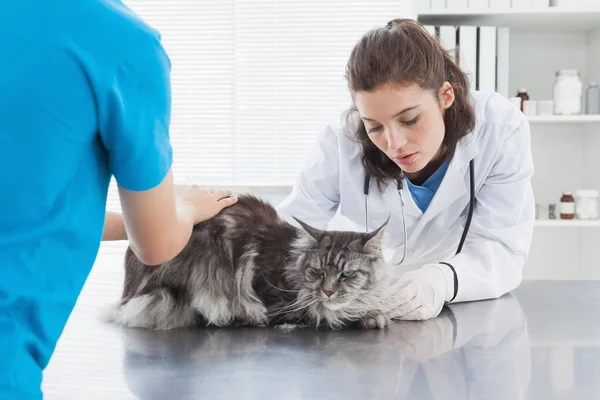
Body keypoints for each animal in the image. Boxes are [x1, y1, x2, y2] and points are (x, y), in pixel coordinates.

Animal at [105, 195, 392, 332]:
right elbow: (322, 313)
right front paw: (367, 317)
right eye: (318, 272)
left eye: (347, 275)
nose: (328, 291)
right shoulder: (276, 304)